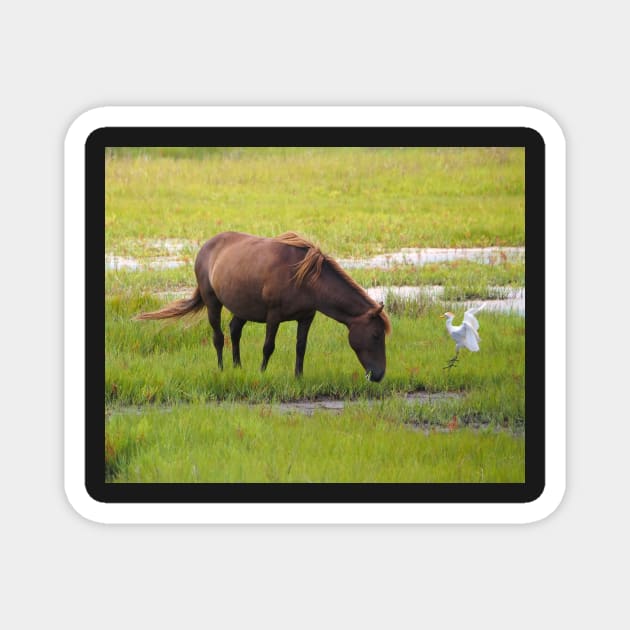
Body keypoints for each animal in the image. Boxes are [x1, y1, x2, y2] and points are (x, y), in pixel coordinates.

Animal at [139, 231, 392, 380]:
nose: (379, 374)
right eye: (376, 335)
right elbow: (268, 346)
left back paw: (238, 366)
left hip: (242, 307)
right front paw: (262, 372)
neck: (306, 279)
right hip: (213, 302)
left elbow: (301, 347)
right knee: (218, 337)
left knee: (234, 331)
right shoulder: (274, 315)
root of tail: (205, 247)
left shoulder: (307, 317)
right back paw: (222, 368)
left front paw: (299, 377)